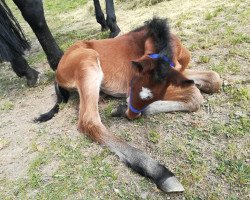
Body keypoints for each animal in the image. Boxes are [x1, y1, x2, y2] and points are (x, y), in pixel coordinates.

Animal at [36, 18, 222, 193]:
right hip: (88, 62)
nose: (130, 114)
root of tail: (58, 69)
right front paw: (125, 109)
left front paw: (125, 109)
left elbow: (214, 79)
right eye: (132, 83)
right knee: (89, 121)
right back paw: (160, 172)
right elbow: (195, 94)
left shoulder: (179, 74)